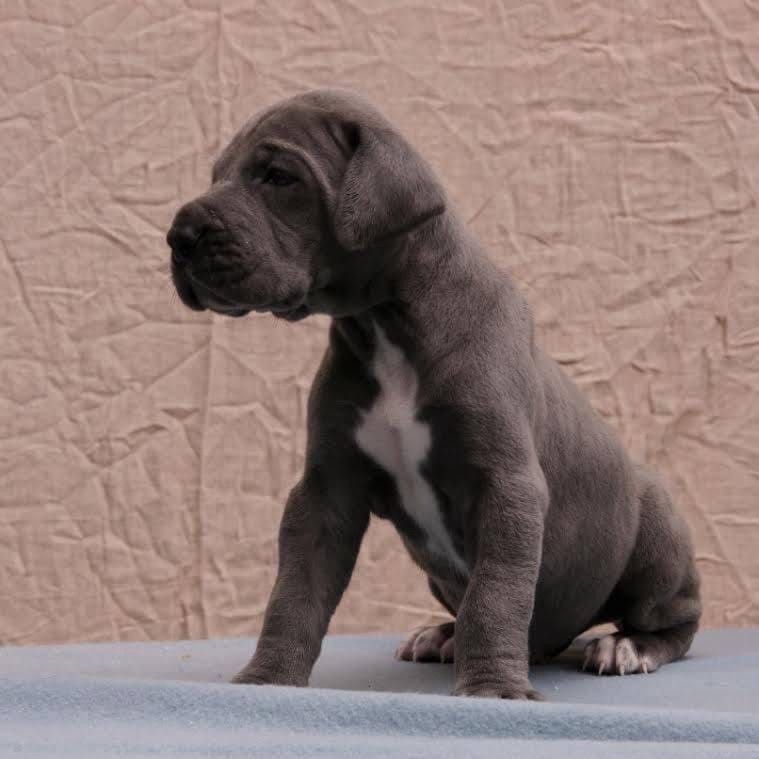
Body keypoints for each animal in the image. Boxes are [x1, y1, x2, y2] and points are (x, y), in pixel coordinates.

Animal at [167, 89, 701, 699]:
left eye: (278, 176)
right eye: (217, 175)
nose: (179, 236)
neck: (386, 328)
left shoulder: (506, 484)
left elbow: (495, 594)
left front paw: (493, 688)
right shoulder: (326, 492)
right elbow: (294, 594)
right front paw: (267, 679)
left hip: (656, 530)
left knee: (674, 617)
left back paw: (628, 646)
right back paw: (442, 635)